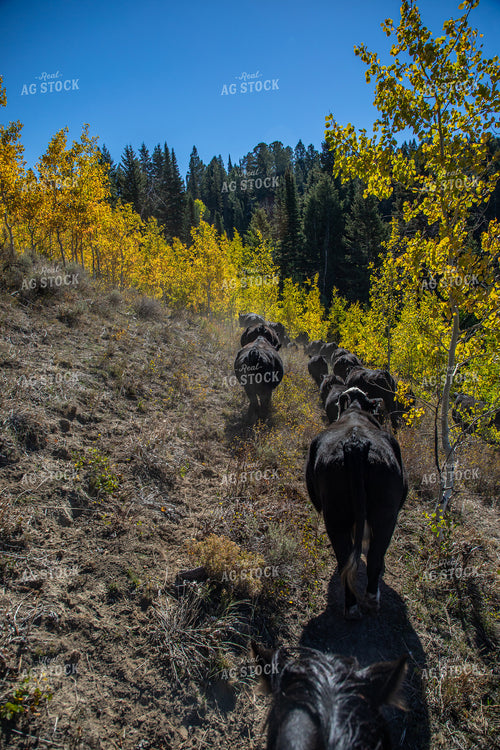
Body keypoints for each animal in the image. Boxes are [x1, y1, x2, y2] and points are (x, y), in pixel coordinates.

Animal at [306, 387, 408, 618]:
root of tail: (356, 443)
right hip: (383, 516)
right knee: (372, 557)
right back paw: (365, 602)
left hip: (339, 516)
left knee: (349, 560)